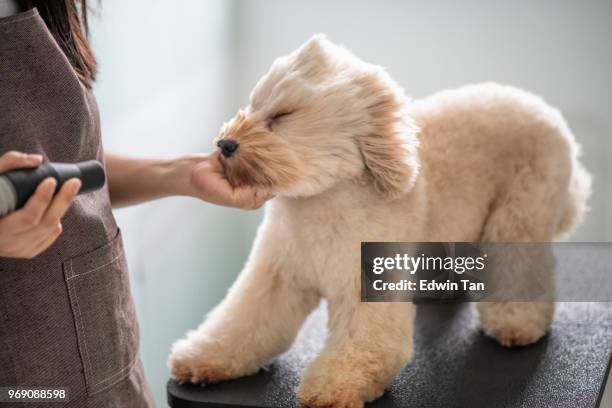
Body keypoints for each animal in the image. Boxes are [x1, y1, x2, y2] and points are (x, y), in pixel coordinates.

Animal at [170, 35, 592, 408]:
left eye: (282, 115)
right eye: (252, 105)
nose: (225, 145)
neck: (322, 202)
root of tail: (541, 108)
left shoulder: (368, 284)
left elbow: (363, 346)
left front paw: (333, 387)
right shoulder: (277, 276)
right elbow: (242, 324)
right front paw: (205, 358)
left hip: (520, 215)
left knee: (520, 268)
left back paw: (517, 323)